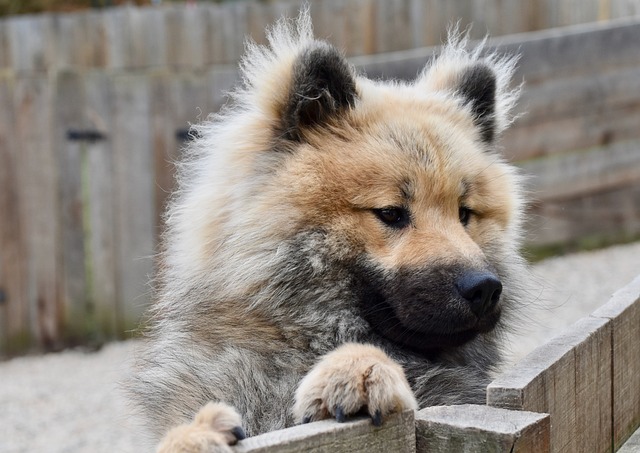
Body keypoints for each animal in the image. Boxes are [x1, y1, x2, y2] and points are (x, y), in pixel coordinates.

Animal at [130, 8, 524, 450]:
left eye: (464, 214)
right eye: (390, 213)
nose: (484, 288)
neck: (297, 339)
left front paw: (357, 368)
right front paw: (199, 433)